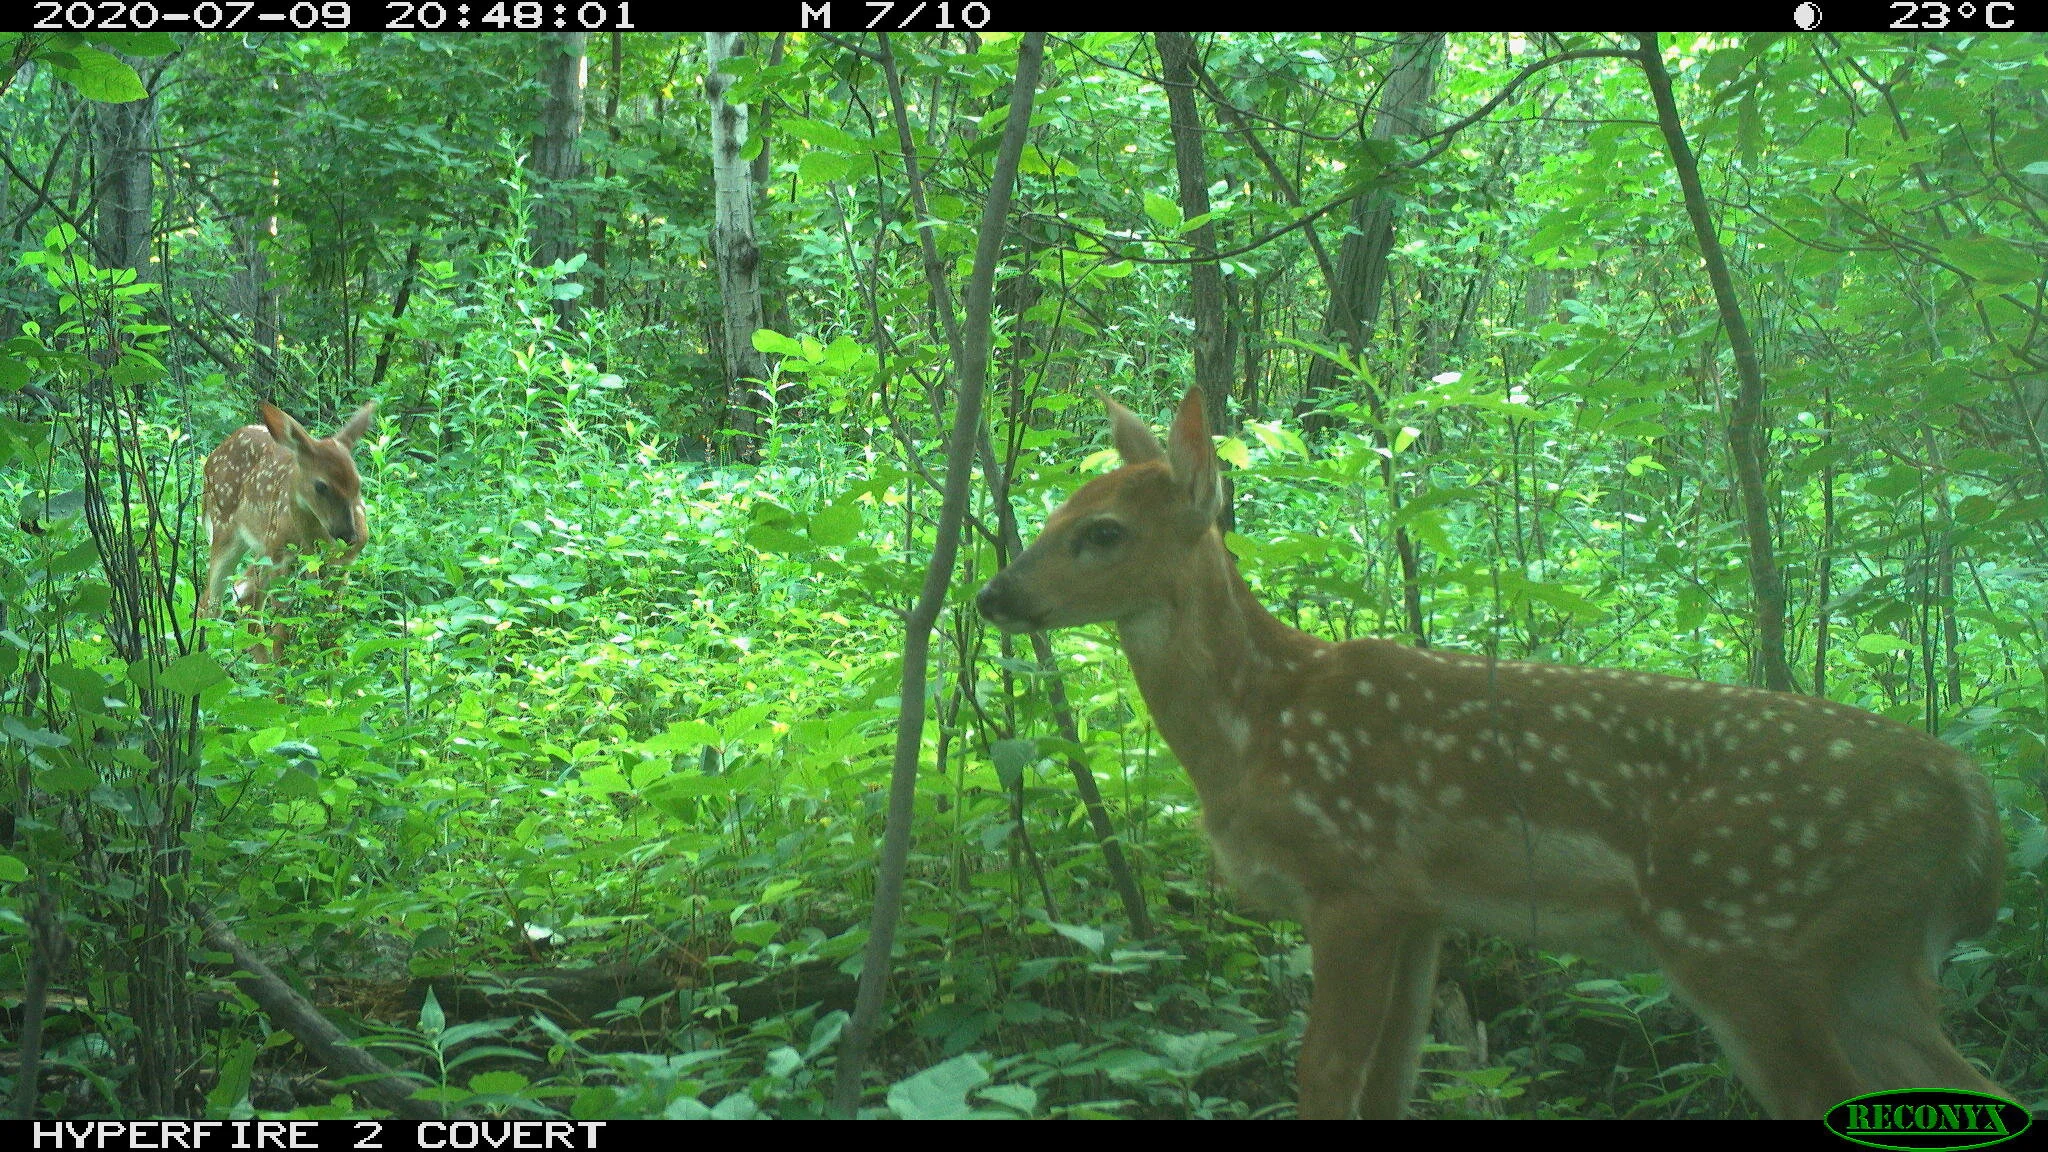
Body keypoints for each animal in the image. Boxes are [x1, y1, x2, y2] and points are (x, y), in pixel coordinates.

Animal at [201, 401, 376, 661]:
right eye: (321, 485)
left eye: (358, 483)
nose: (349, 535)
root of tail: (212, 456)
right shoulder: (283, 560)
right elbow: (283, 631)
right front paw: (284, 671)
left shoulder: (343, 563)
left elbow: (331, 625)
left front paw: (333, 668)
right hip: (226, 527)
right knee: (212, 602)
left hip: (263, 546)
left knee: (243, 594)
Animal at [976, 387, 2008, 1119]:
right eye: (1056, 511)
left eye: (1102, 532)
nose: (993, 596)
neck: (1257, 725)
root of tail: (1969, 797)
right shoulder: (1423, 906)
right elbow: (1390, 1083)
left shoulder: (1353, 879)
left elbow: (1325, 1073)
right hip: (1873, 963)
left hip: (1749, 937)